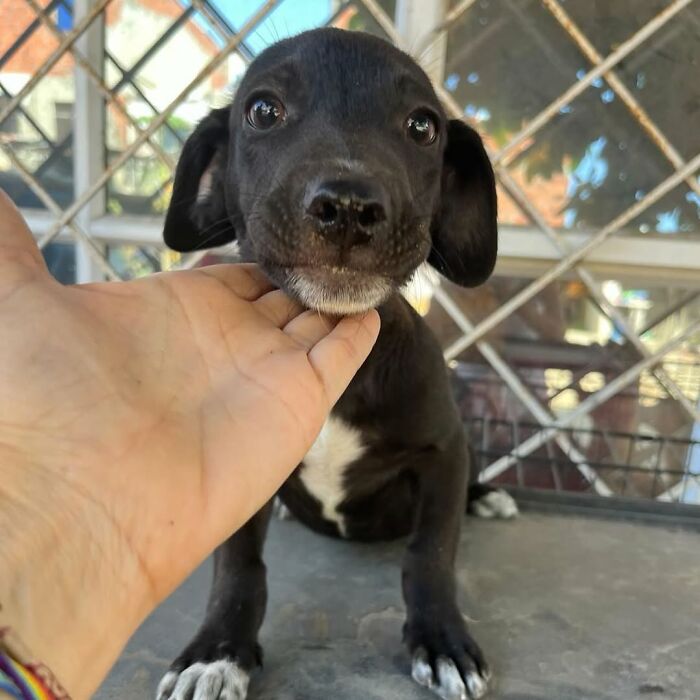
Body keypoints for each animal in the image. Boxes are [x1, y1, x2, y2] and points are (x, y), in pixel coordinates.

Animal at [159, 27, 516, 700]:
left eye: (422, 126)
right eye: (263, 110)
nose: (348, 206)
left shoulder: (445, 450)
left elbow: (431, 554)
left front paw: (441, 640)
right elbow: (239, 566)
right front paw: (217, 651)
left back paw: (486, 497)